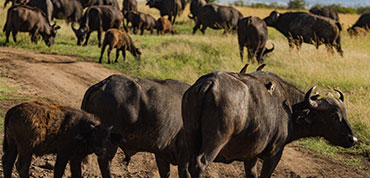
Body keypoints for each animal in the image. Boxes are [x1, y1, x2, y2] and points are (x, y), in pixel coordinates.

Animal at [182, 71, 356, 178]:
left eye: (346, 114)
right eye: (334, 116)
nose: (352, 139)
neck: (290, 108)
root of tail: (208, 83)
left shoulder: (250, 156)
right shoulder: (274, 155)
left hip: (190, 135)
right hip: (216, 140)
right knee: (199, 164)